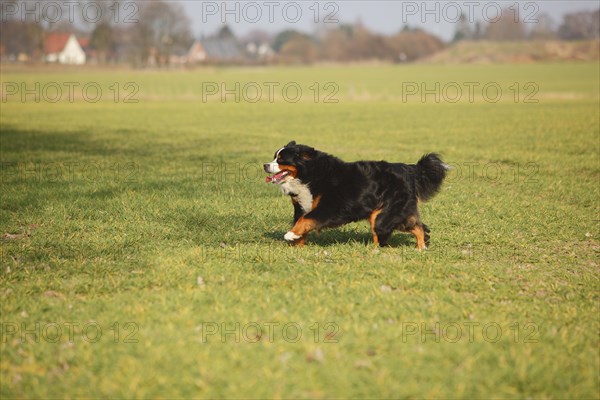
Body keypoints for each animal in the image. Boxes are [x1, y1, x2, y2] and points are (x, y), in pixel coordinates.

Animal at [264, 141, 448, 250]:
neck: (309, 174)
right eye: (274, 157)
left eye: (281, 160)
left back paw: (376, 251)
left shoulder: (329, 207)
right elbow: (301, 220)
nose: (265, 165)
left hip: (384, 214)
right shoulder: (301, 205)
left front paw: (290, 235)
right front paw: (298, 244)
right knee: (418, 226)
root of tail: (409, 169)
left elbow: (306, 220)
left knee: (385, 230)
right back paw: (421, 248)